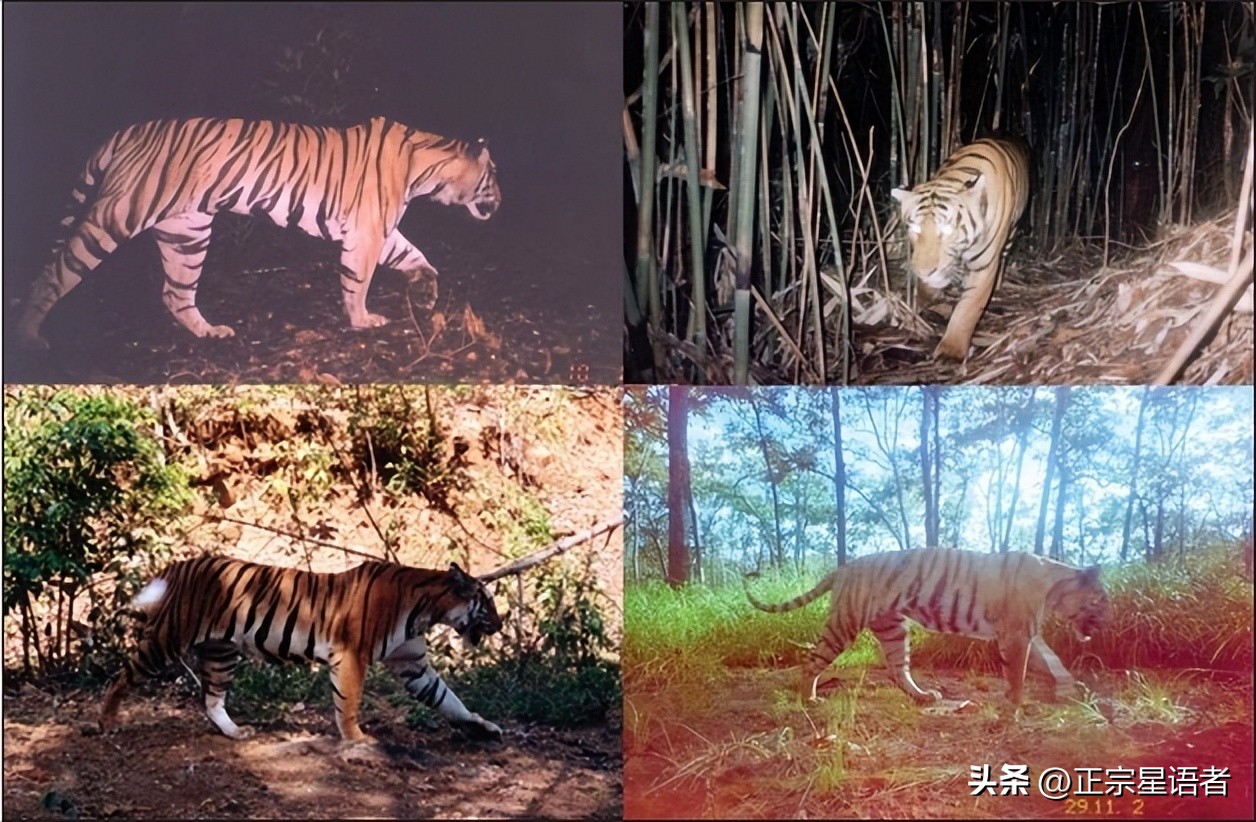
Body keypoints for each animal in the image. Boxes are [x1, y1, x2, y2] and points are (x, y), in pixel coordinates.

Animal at [16, 115, 500, 349]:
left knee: (176, 293)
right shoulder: (366, 232)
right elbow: (358, 282)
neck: (427, 171)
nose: (502, 201)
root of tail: (128, 130)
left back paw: (210, 333)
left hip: (187, 231)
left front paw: (426, 293)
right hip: (117, 216)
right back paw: (29, 337)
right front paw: (362, 321)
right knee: (54, 272)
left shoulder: (380, 229)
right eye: (493, 175)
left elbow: (418, 257)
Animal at [99, 556, 504, 743]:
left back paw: (236, 733)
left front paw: (482, 726)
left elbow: (448, 698)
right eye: (486, 603)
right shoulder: (351, 655)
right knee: (122, 676)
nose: (501, 624)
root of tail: (183, 563)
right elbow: (348, 702)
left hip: (221, 652)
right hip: (168, 638)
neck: (426, 610)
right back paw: (107, 722)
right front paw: (357, 739)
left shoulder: (413, 664)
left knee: (212, 699)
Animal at [744, 548, 1109, 708]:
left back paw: (922, 696)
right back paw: (809, 699)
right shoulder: (1017, 635)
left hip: (894, 629)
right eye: (1102, 599)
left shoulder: (1028, 635)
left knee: (897, 669)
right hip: (844, 624)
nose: (1107, 621)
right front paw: (1016, 705)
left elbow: (1050, 664)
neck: (1055, 588)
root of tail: (843, 568)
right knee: (812, 661)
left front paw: (1070, 688)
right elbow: (1018, 673)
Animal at [890, 137, 1029, 361]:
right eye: (915, 228)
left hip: (1013, 231)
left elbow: (968, 309)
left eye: (947, 230)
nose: (924, 272)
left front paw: (951, 350)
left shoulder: (984, 266)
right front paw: (924, 299)